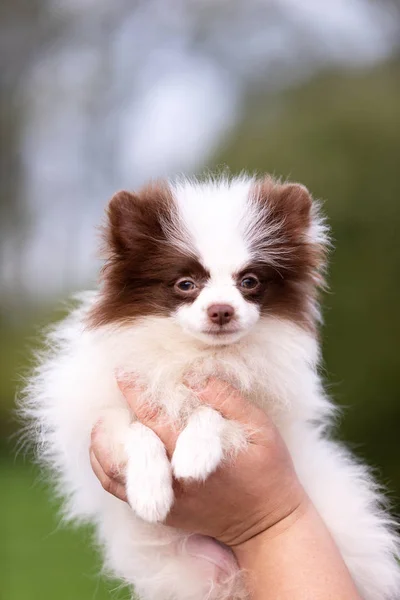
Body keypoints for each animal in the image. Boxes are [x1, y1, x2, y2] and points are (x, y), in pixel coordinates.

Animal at [21, 175, 400, 600]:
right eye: (186, 284)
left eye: (249, 282)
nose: (222, 310)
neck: (201, 353)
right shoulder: (100, 415)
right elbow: (136, 428)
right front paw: (150, 492)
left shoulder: (261, 413)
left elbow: (211, 408)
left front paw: (194, 453)